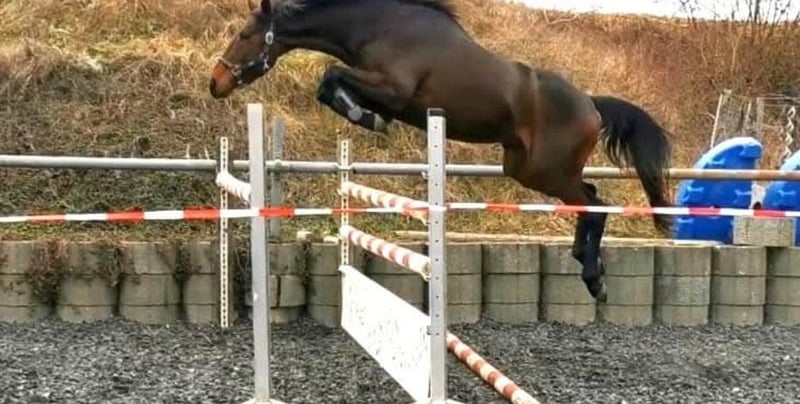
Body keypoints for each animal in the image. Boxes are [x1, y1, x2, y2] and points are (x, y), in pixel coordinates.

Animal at [208, 0, 673, 303]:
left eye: (244, 35)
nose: (216, 82)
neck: (379, 25)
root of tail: (592, 104)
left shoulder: (392, 89)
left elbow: (330, 76)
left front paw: (365, 117)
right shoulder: (384, 93)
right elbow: (330, 85)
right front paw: (366, 117)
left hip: (546, 171)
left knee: (596, 205)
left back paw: (595, 279)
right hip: (526, 168)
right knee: (590, 199)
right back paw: (585, 264)